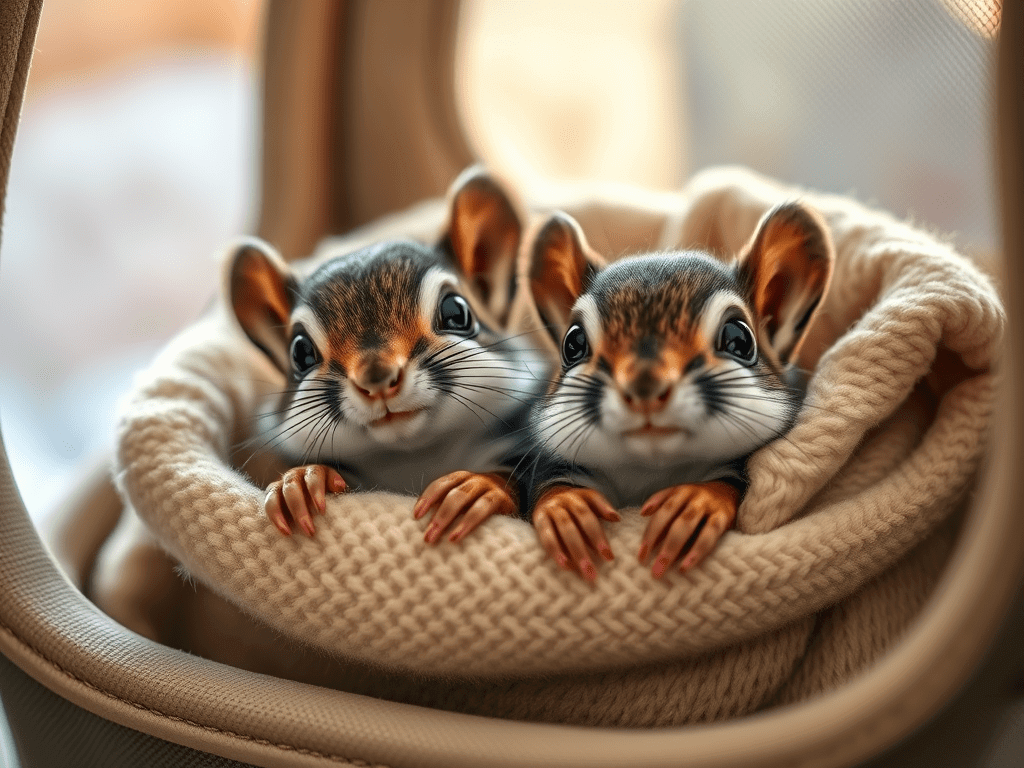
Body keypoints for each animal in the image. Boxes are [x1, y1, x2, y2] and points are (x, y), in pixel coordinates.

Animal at [227, 168, 545, 542]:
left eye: (457, 312)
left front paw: (477, 486)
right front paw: (305, 479)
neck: (414, 457)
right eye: (300, 353)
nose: (376, 380)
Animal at [517, 203, 833, 581]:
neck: (650, 472)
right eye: (573, 343)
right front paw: (566, 507)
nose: (645, 388)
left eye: (739, 339)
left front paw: (696, 502)